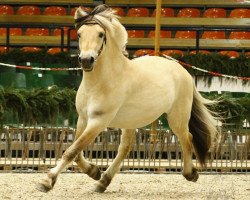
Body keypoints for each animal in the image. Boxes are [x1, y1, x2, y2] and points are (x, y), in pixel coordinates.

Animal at [36, 4, 218, 192]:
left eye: (101, 34)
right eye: (79, 34)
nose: (86, 60)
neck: (101, 82)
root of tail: (182, 70)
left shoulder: (98, 121)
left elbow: (72, 151)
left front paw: (47, 181)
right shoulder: (83, 119)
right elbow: (76, 152)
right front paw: (94, 171)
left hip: (177, 118)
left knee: (187, 138)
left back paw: (191, 173)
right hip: (131, 121)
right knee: (125, 148)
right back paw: (102, 181)